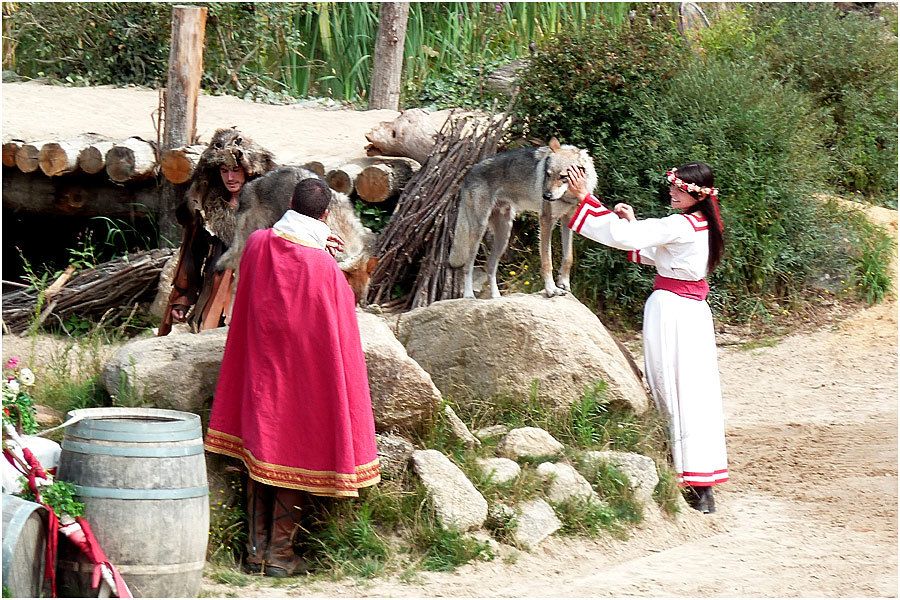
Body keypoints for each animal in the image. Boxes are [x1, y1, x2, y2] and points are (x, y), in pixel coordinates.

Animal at [448, 137, 596, 298]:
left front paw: (564, 284)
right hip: (479, 231)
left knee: (490, 266)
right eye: (548, 174)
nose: (546, 196)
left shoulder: (567, 221)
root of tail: (468, 173)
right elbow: (547, 261)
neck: (569, 196)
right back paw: (469, 295)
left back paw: (496, 297)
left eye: (563, 177)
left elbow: (568, 257)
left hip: (504, 236)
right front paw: (551, 289)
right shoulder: (546, 220)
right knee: (468, 265)